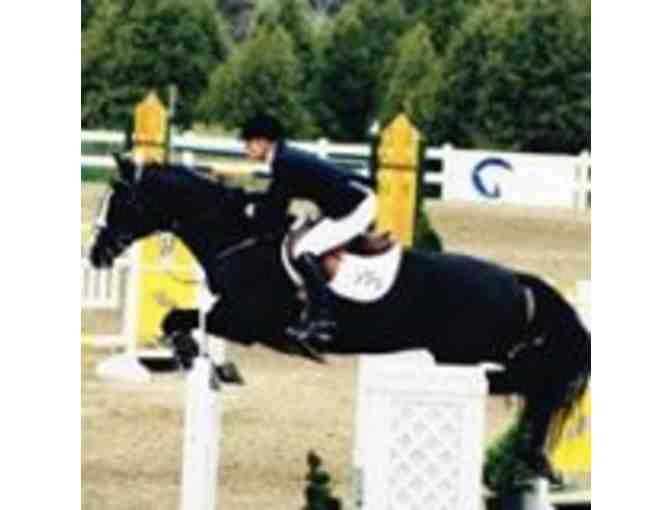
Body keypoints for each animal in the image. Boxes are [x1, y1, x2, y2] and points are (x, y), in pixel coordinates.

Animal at [89, 154, 590, 483]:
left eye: (120, 201)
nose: (96, 254)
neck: (240, 237)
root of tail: (519, 281)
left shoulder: (246, 321)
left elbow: (180, 319)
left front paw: (200, 359)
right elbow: (177, 319)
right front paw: (202, 362)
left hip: (464, 354)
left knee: (531, 383)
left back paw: (534, 456)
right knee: (534, 384)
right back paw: (535, 458)